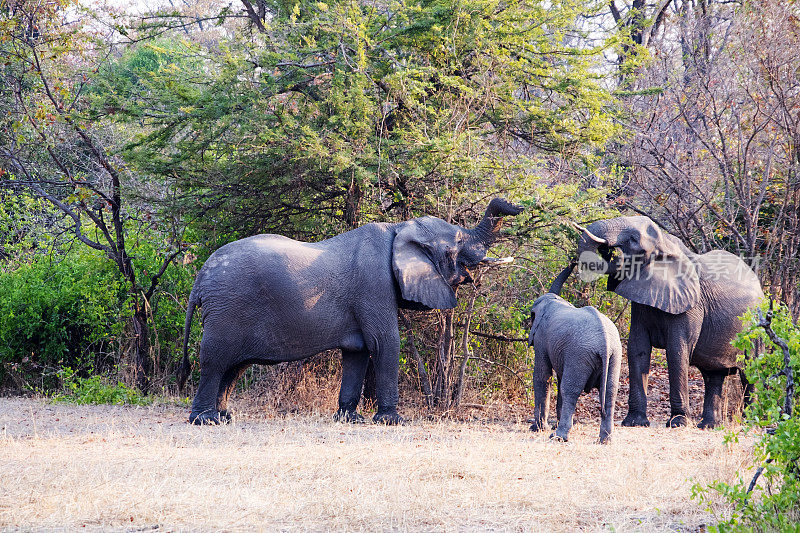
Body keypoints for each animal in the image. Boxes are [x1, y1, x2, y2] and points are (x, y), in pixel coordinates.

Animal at [178, 197, 520, 426]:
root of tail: (200, 277)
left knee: (234, 366)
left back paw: (225, 417)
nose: (517, 206)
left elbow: (358, 352)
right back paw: (204, 421)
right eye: (456, 245)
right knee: (216, 360)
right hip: (227, 308)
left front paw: (349, 419)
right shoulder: (374, 285)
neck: (399, 229)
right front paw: (392, 421)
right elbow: (385, 343)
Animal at [532, 264, 624, 442]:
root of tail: (605, 344)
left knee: (570, 390)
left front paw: (537, 429)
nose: (575, 261)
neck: (555, 300)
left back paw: (558, 437)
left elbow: (542, 377)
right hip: (615, 355)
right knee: (610, 392)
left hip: (580, 355)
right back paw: (605, 440)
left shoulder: (541, 339)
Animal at [576, 216, 764, 428]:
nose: (610, 252)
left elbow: (677, 351)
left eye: (633, 240)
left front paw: (679, 423)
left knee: (751, 372)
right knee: (713, 375)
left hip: (756, 326)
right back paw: (708, 426)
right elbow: (637, 348)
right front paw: (634, 422)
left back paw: (750, 422)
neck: (666, 244)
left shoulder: (691, 305)